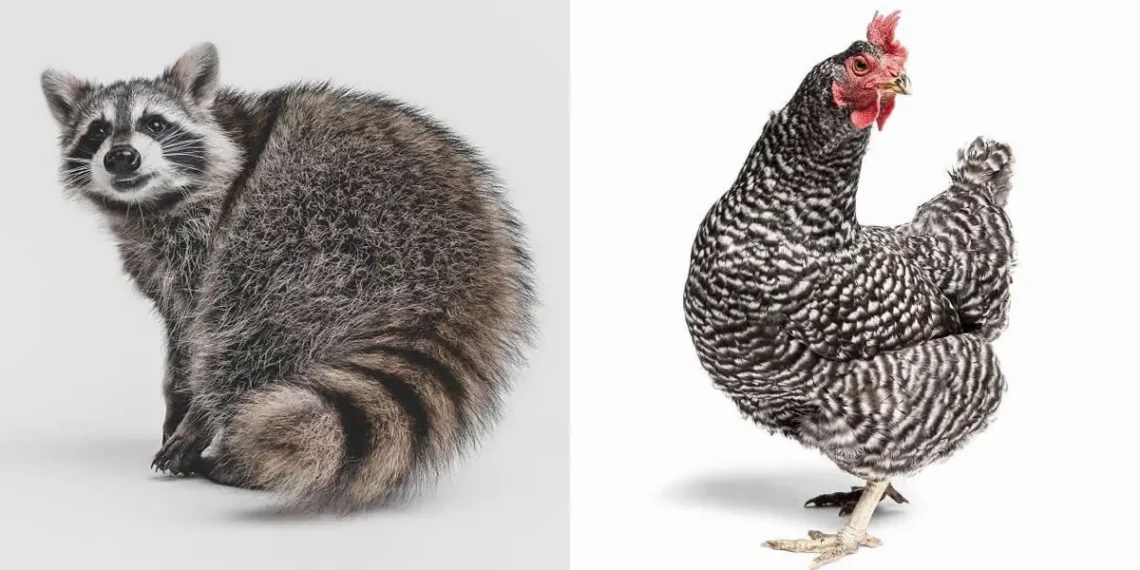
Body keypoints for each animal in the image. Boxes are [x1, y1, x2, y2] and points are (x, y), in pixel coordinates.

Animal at [41, 43, 535, 511]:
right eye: (98, 131)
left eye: (156, 124)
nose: (122, 157)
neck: (152, 205)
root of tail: (461, 279)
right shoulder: (155, 261)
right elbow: (182, 332)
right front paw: (176, 402)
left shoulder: (213, 230)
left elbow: (211, 328)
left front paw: (196, 415)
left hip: (323, 232)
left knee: (250, 321)